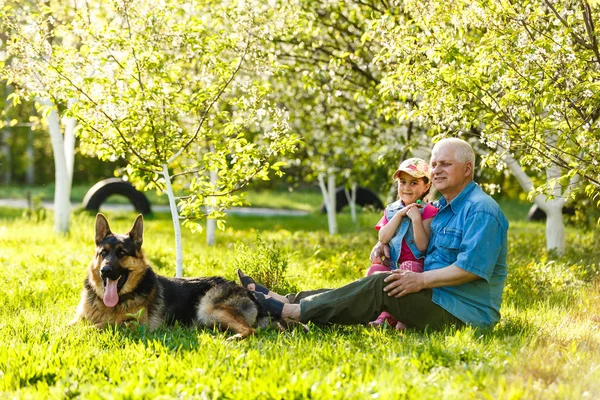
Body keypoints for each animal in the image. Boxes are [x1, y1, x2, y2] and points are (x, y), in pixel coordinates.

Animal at [69, 212, 272, 338]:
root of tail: (250, 294)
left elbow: (97, 325)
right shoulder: (78, 318)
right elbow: (69, 325)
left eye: (121, 253)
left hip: (209, 309)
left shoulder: (134, 325)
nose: (105, 271)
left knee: (251, 330)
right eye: (103, 253)